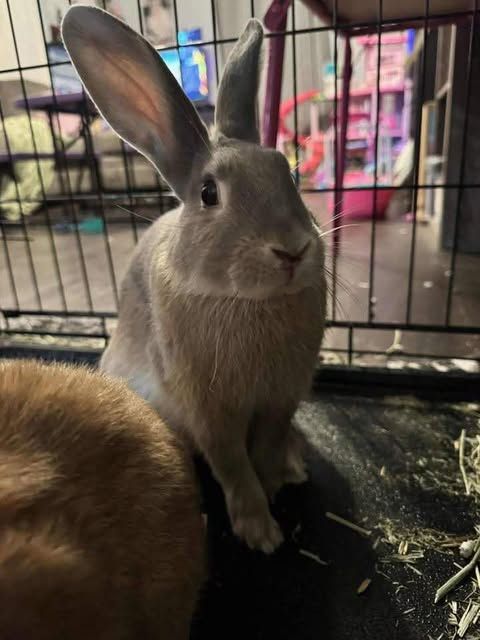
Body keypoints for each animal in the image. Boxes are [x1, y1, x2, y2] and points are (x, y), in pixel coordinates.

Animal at [62, 5, 326, 554]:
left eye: (288, 171)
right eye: (208, 194)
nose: (292, 250)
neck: (247, 299)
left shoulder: (280, 399)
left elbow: (266, 447)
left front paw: (275, 484)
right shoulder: (210, 411)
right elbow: (233, 465)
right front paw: (260, 532)